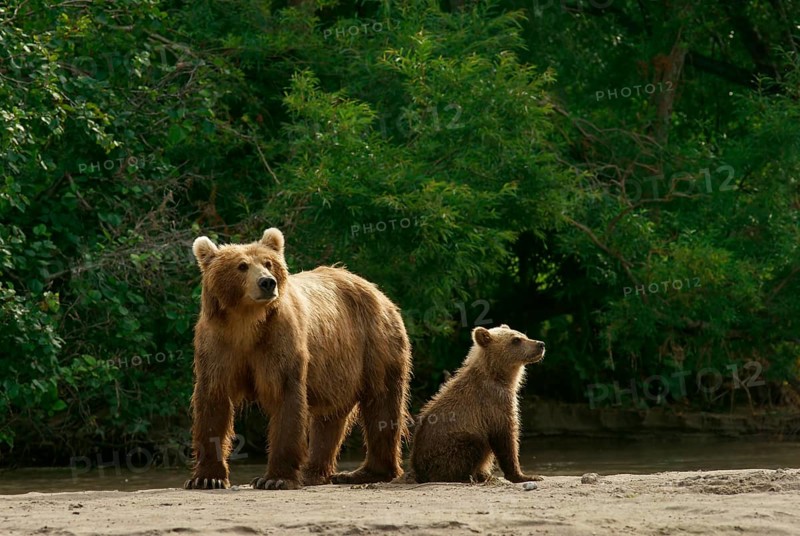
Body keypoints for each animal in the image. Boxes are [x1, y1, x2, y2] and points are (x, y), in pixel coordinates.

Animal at [183, 228, 412, 490]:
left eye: (268, 263)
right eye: (241, 265)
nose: (267, 282)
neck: (246, 323)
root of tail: (377, 290)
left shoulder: (280, 341)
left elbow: (287, 399)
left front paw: (274, 478)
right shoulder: (217, 346)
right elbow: (213, 401)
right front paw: (206, 478)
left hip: (375, 343)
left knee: (381, 405)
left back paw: (365, 472)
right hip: (337, 368)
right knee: (330, 418)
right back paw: (314, 473)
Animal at [409, 324, 545, 483]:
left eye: (524, 335)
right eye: (516, 340)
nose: (540, 344)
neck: (500, 377)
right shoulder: (494, 403)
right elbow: (506, 438)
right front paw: (526, 475)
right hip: (448, 445)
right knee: (474, 443)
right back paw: (467, 476)